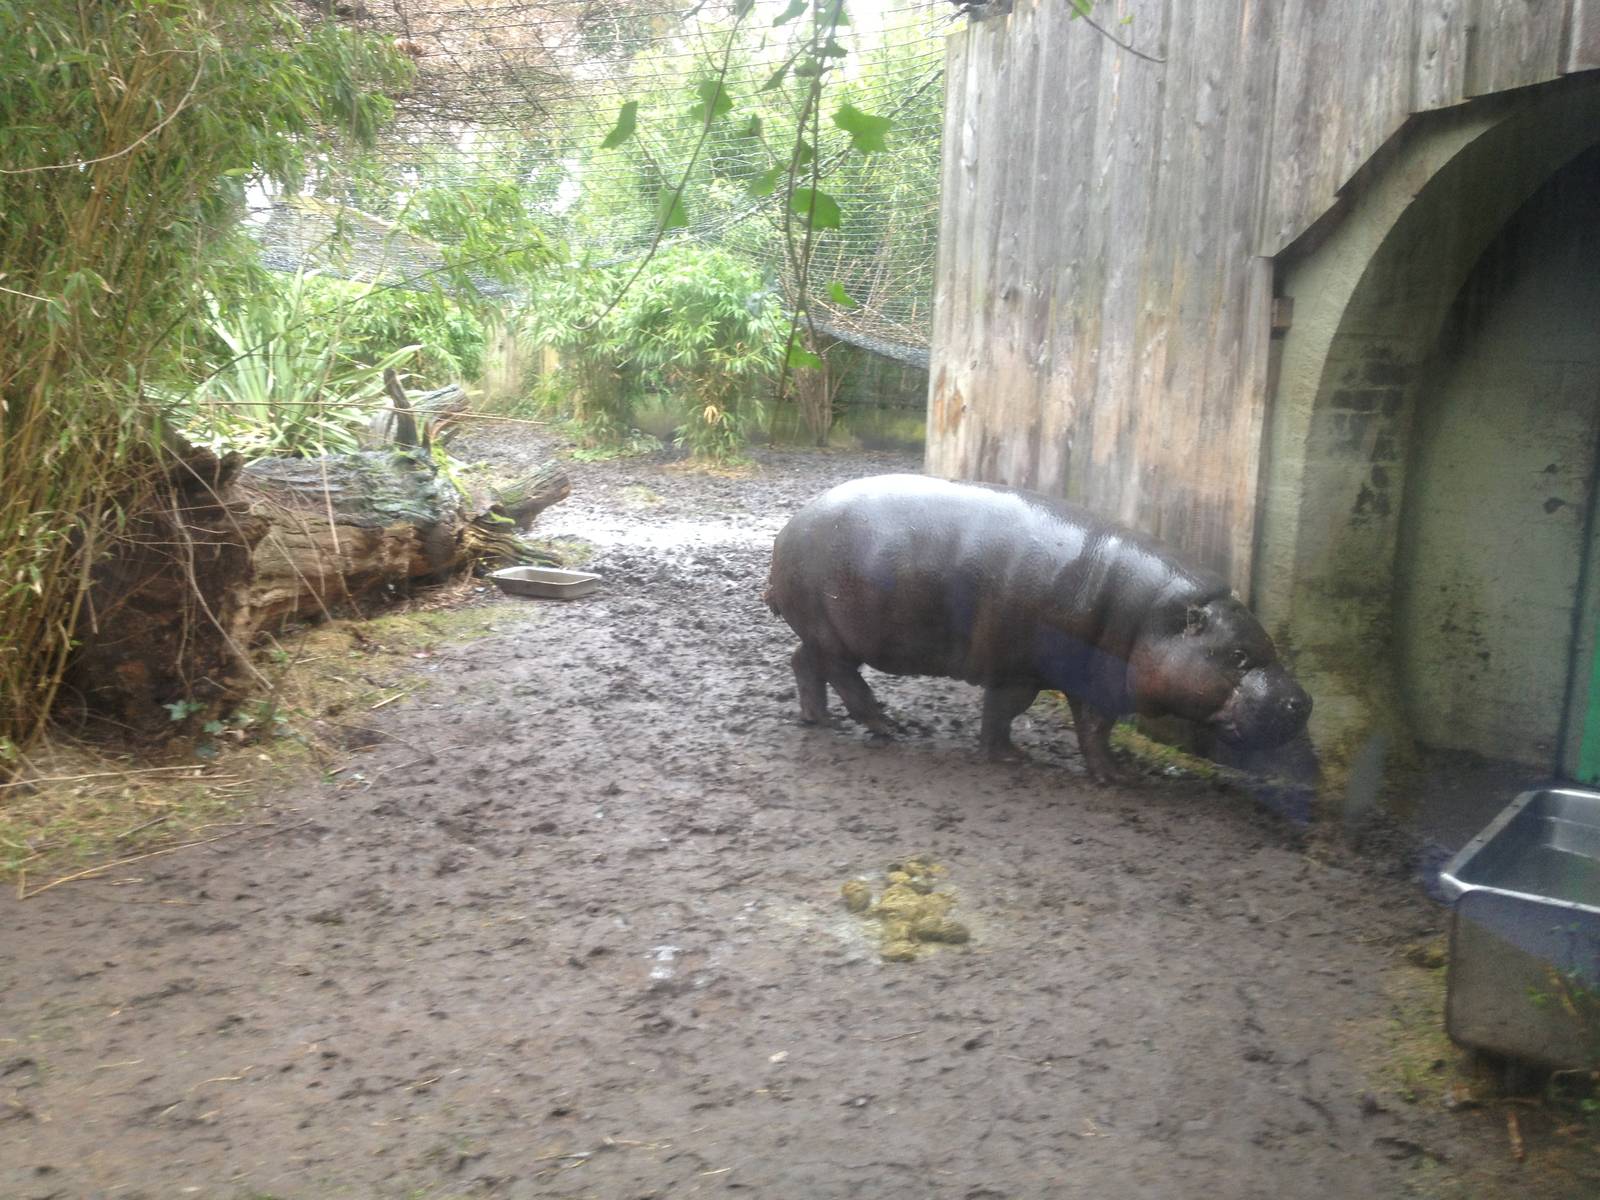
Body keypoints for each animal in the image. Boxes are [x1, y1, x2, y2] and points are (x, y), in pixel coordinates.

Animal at [764, 474, 1311, 782]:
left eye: (1269, 646)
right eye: (1238, 656)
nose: (1303, 701)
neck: (1153, 616)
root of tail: (787, 529)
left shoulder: (1094, 682)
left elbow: (1089, 730)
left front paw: (1115, 774)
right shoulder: (1023, 671)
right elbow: (1010, 713)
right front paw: (1018, 761)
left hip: (826, 631)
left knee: (803, 661)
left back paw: (818, 719)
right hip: (837, 632)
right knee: (841, 675)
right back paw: (887, 726)